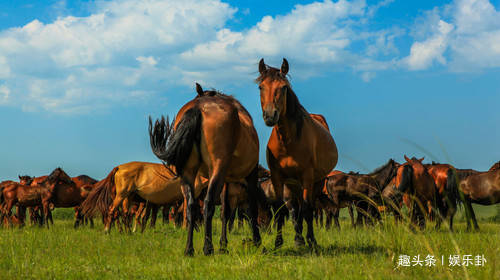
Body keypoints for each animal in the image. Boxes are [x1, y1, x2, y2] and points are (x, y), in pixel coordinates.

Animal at [149, 83, 262, 256]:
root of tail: (198, 108)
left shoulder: (226, 180)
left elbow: (224, 212)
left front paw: (223, 244)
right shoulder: (250, 174)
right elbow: (251, 208)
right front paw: (256, 241)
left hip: (189, 173)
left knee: (191, 206)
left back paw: (189, 249)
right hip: (217, 168)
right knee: (208, 204)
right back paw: (208, 247)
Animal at [256, 58, 338, 247]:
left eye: (284, 87)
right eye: (261, 87)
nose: (270, 115)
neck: (288, 142)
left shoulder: (307, 176)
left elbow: (307, 209)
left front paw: (312, 240)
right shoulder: (278, 177)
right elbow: (282, 210)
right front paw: (279, 242)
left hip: (315, 181)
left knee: (307, 207)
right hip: (293, 184)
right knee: (296, 208)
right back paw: (298, 238)